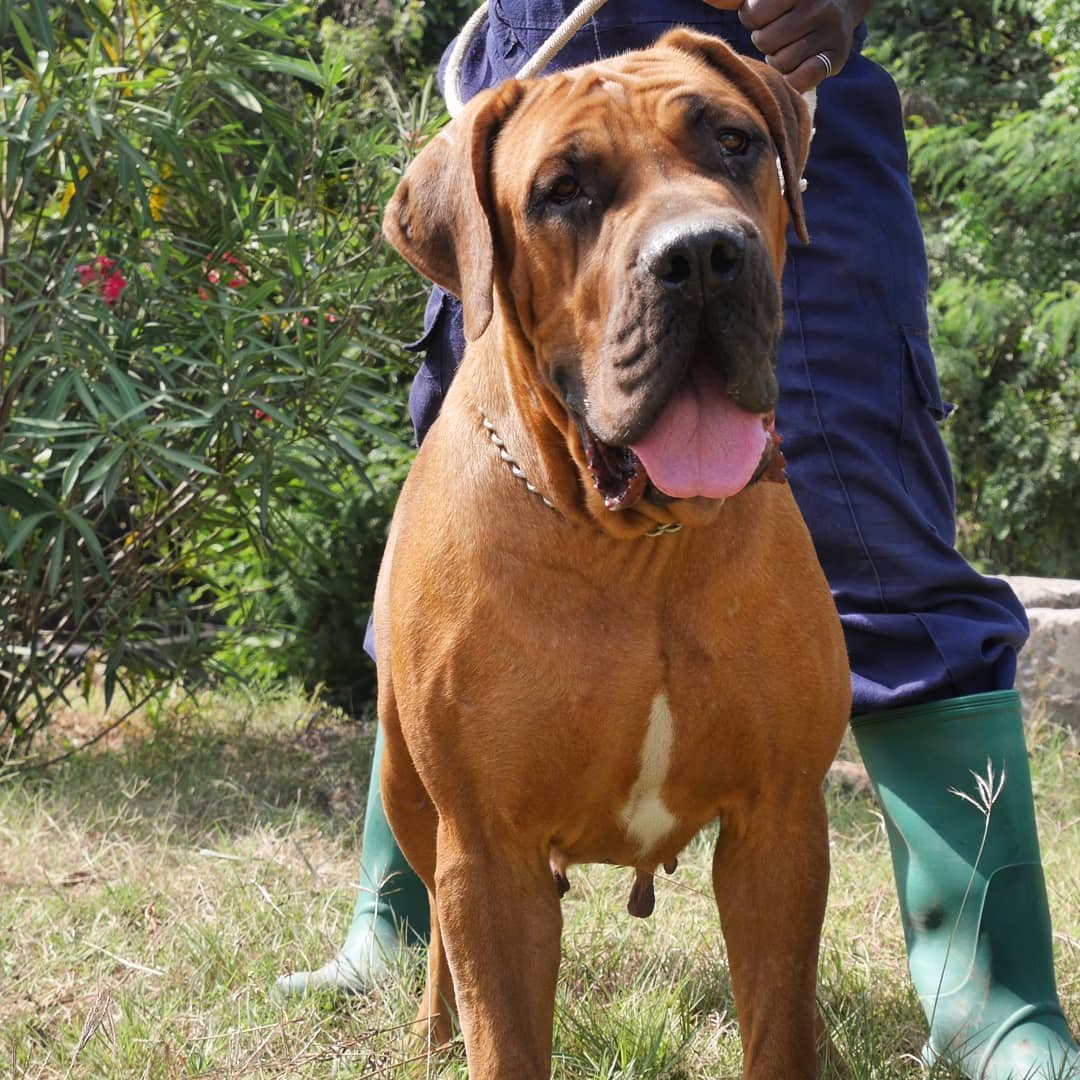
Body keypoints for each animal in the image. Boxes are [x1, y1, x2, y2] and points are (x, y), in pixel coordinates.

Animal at [380, 27, 851, 1080]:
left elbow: (777, 1023)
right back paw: (431, 1024)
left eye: (734, 142)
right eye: (563, 190)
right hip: (406, 790)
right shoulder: (490, 853)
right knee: (430, 915)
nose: (705, 256)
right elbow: (503, 1032)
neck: (641, 553)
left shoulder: (780, 827)